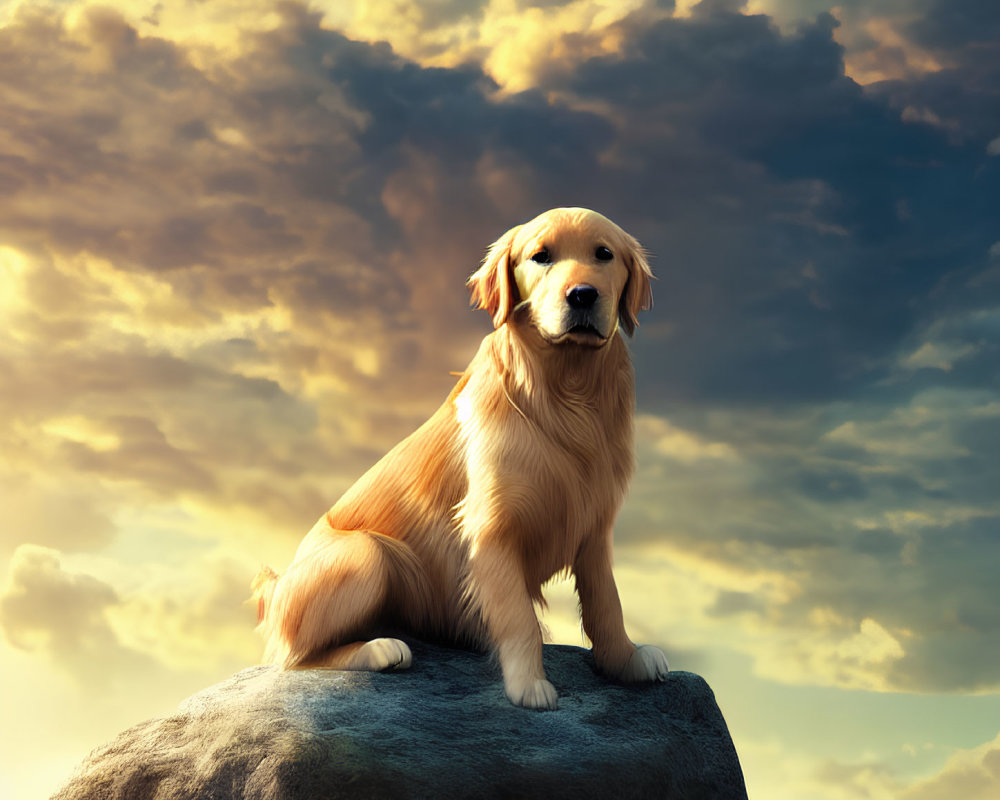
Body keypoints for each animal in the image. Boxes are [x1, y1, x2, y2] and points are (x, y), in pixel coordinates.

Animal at [254, 208, 668, 712]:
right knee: (295, 658)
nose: (583, 295)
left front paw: (626, 660)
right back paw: (380, 648)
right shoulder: (491, 529)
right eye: (541, 256)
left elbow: (606, 601)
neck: (568, 391)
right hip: (370, 555)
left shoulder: (594, 526)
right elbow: (519, 617)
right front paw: (529, 686)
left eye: (604, 254)